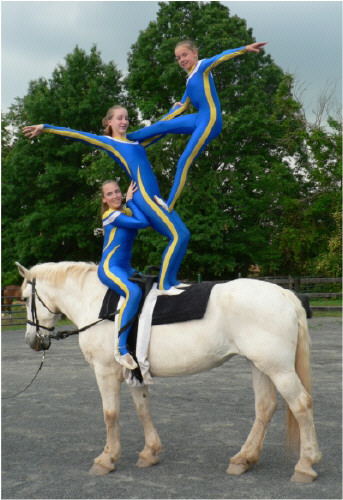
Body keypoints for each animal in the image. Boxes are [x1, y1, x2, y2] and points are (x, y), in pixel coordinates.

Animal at [16, 260, 322, 482]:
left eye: (24, 298)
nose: (32, 341)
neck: (99, 304)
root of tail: (284, 294)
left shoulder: (105, 372)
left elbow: (110, 414)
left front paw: (107, 459)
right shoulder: (134, 373)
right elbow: (143, 410)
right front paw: (150, 453)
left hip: (278, 369)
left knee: (302, 405)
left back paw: (305, 465)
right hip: (260, 366)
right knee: (265, 407)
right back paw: (243, 459)